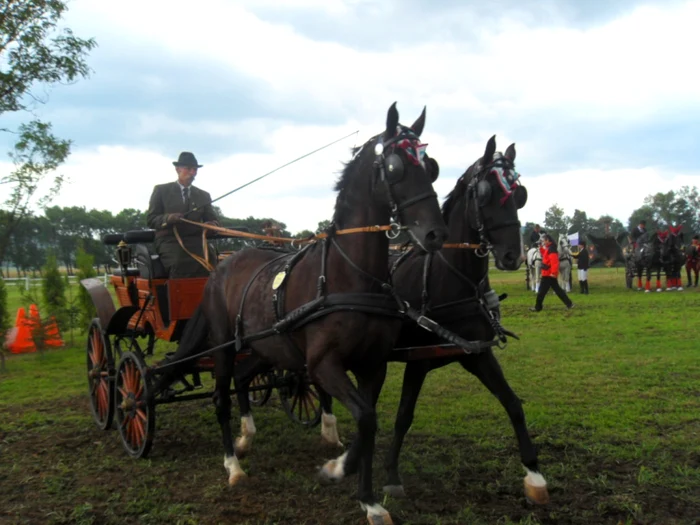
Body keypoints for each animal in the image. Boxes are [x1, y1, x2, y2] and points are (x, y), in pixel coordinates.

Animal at [154, 102, 448, 524]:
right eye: (395, 167)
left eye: (432, 165)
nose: (435, 235)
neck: (349, 276)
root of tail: (220, 267)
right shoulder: (324, 364)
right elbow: (366, 419)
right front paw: (337, 469)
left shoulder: (373, 365)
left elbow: (369, 421)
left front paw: (367, 498)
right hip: (224, 346)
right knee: (221, 397)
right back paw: (233, 466)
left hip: (264, 346)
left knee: (243, 379)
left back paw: (246, 438)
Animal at [314, 135, 548, 504]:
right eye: (485, 192)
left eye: (519, 194)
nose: (513, 255)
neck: (451, 279)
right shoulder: (418, 361)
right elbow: (403, 416)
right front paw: (391, 476)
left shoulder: (477, 353)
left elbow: (512, 403)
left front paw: (535, 475)